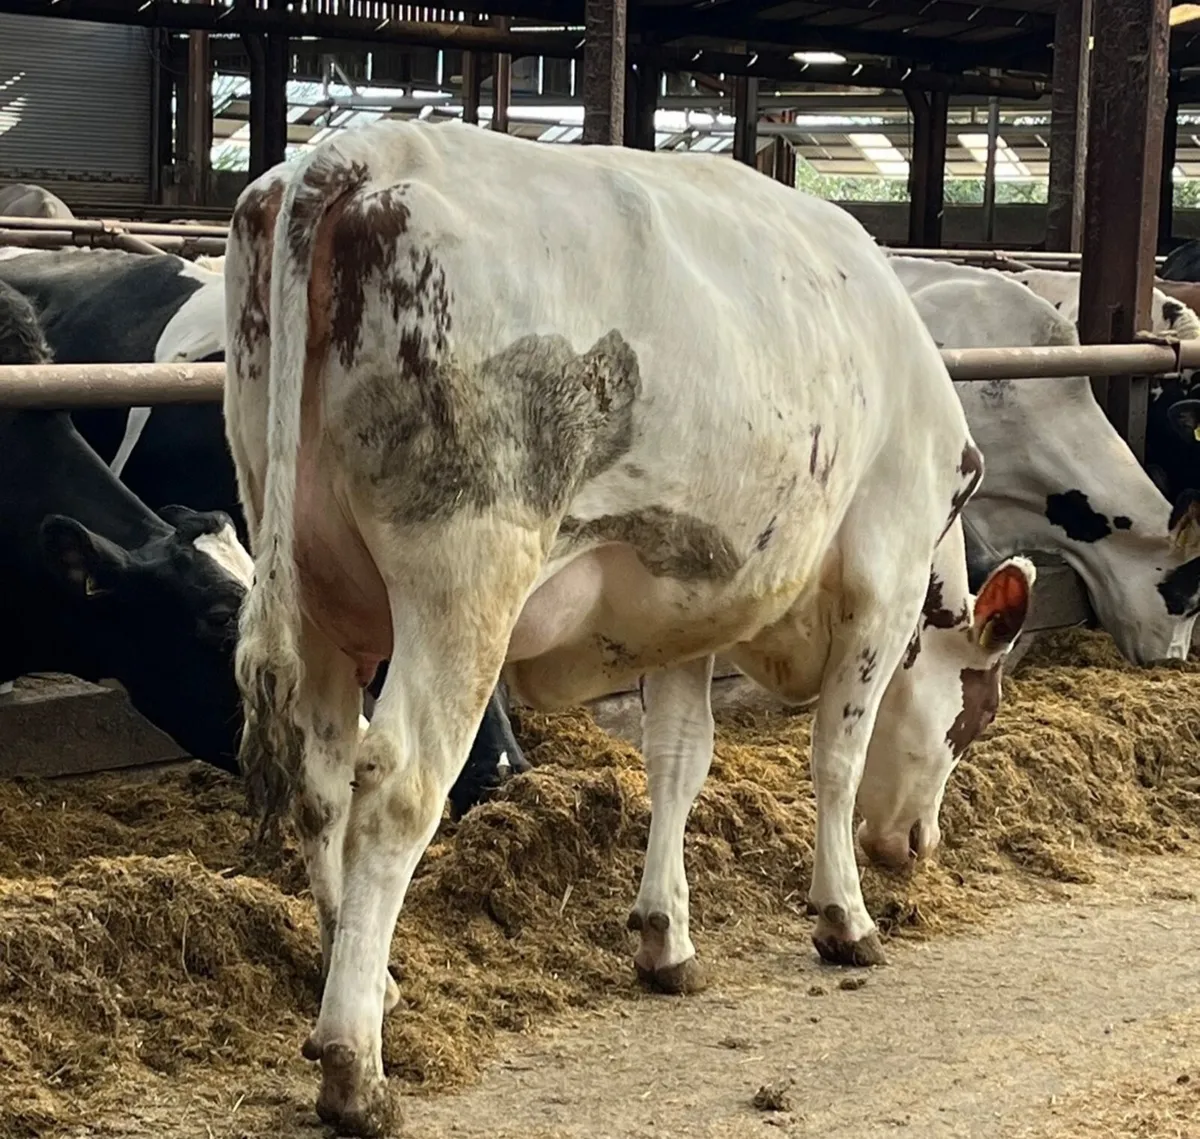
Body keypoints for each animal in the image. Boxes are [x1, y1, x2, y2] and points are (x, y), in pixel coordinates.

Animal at [224, 120, 1035, 1133]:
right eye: (977, 718)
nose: (918, 845)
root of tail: (365, 147)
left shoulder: (683, 609)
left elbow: (680, 760)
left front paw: (667, 937)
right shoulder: (879, 580)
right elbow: (836, 761)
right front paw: (846, 915)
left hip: (311, 582)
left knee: (323, 780)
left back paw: (369, 984)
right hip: (465, 579)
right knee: (397, 788)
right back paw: (354, 1065)